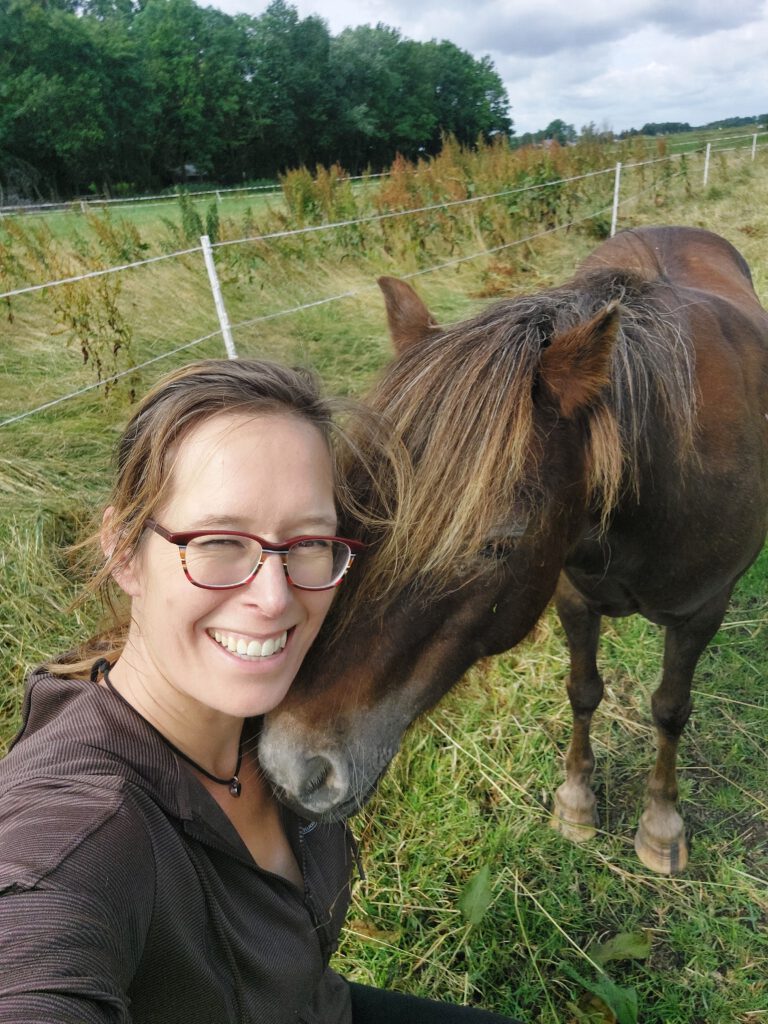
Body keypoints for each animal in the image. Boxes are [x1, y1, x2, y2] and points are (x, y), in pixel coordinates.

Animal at [260, 228, 768, 876]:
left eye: (498, 543)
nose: (292, 768)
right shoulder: (571, 596)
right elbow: (583, 690)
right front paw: (576, 800)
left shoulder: (700, 614)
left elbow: (671, 709)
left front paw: (661, 825)